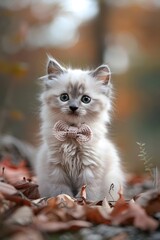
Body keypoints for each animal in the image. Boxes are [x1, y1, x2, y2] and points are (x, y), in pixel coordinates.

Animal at [35, 57, 124, 202]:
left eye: (86, 99)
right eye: (64, 97)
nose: (73, 107)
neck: (72, 131)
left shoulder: (90, 167)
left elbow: (88, 190)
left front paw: (82, 203)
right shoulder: (56, 167)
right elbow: (61, 190)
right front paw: (64, 200)